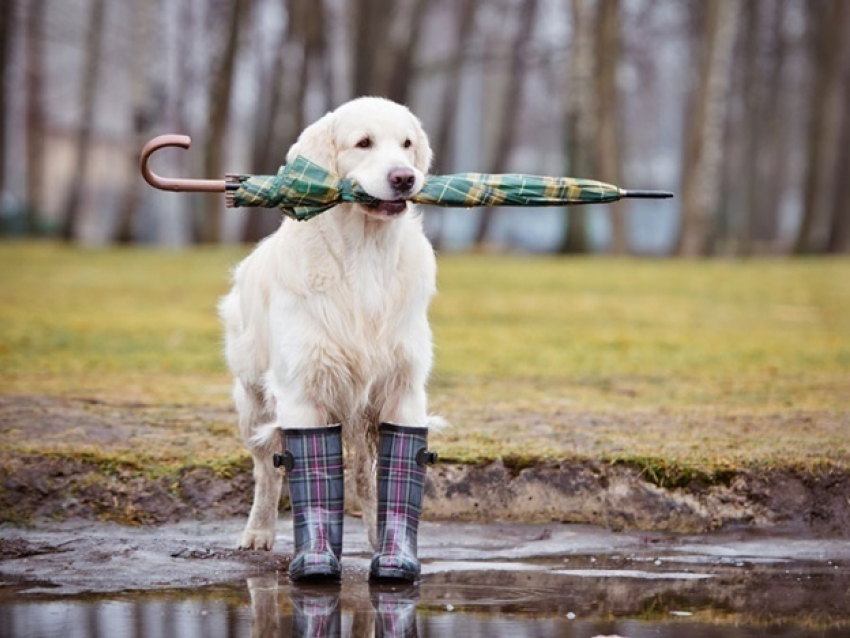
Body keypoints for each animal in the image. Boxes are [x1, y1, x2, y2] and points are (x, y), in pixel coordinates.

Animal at [215, 99, 440, 556]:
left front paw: (391, 548)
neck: (366, 254)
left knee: (365, 476)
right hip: (252, 400)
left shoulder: (403, 388)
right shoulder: (302, 389)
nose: (404, 178)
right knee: (267, 471)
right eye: (364, 143)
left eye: (407, 144)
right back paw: (258, 532)